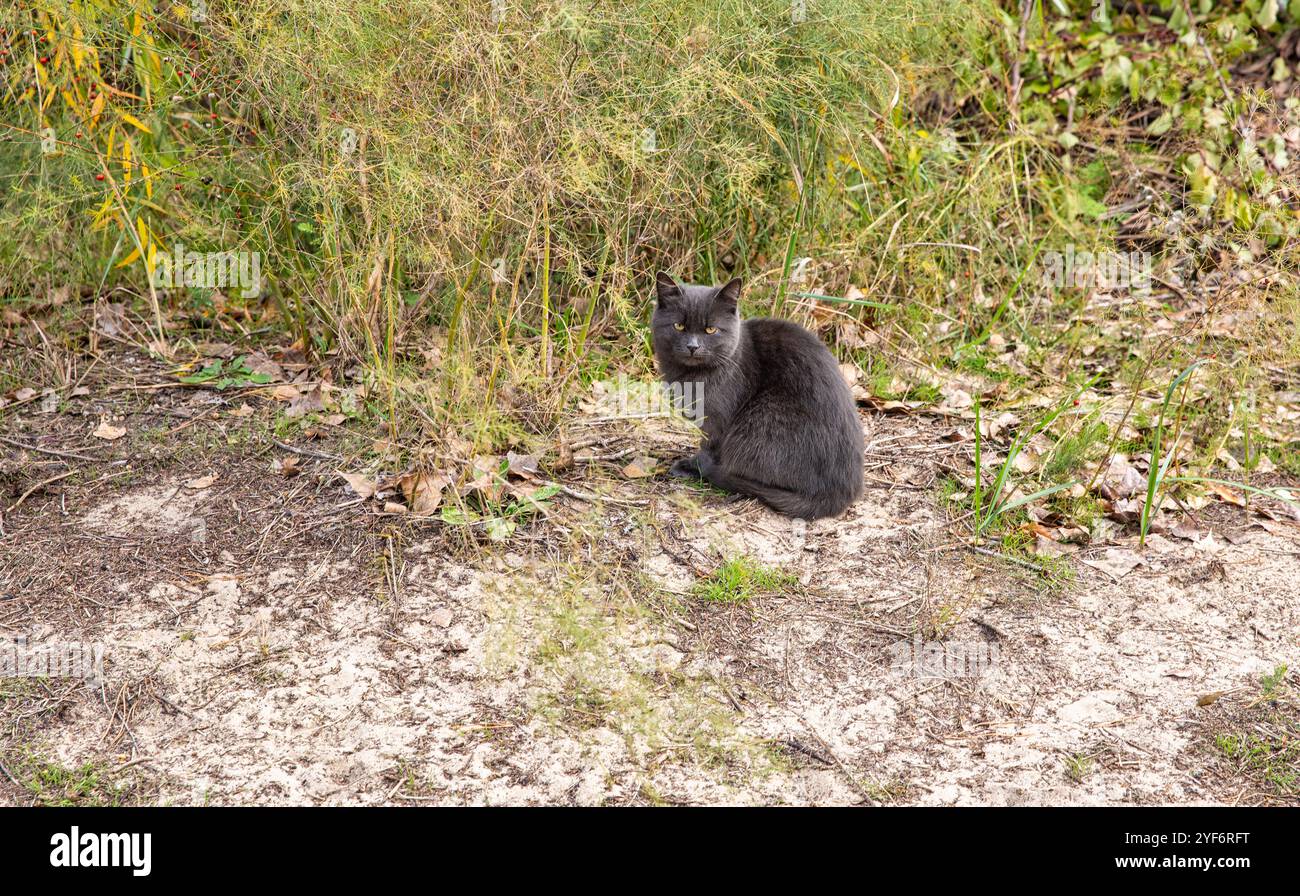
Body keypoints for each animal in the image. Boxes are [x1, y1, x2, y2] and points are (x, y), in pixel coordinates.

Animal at [650, 275, 863, 520]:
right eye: (679, 326)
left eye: (711, 329)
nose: (693, 346)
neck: (691, 375)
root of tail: (841, 495)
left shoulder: (717, 420)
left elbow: (708, 447)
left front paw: (691, 466)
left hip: (761, 418)